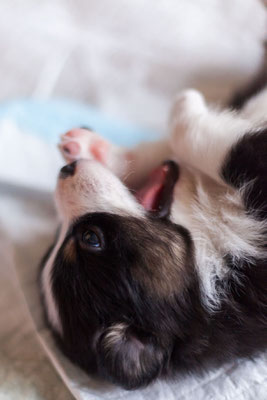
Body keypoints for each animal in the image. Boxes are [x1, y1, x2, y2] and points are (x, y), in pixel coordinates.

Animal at [39, 80, 267, 388]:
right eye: (91, 238)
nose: (67, 169)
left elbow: (169, 150)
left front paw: (90, 148)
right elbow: (217, 146)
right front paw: (186, 103)